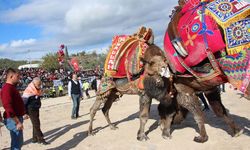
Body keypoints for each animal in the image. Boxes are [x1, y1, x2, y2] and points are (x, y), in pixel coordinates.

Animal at [139, 0, 248, 143]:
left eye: (150, 67)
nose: (160, 124)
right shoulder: (210, 87)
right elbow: (219, 110)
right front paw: (236, 131)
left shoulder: (184, 90)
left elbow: (197, 113)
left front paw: (201, 137)